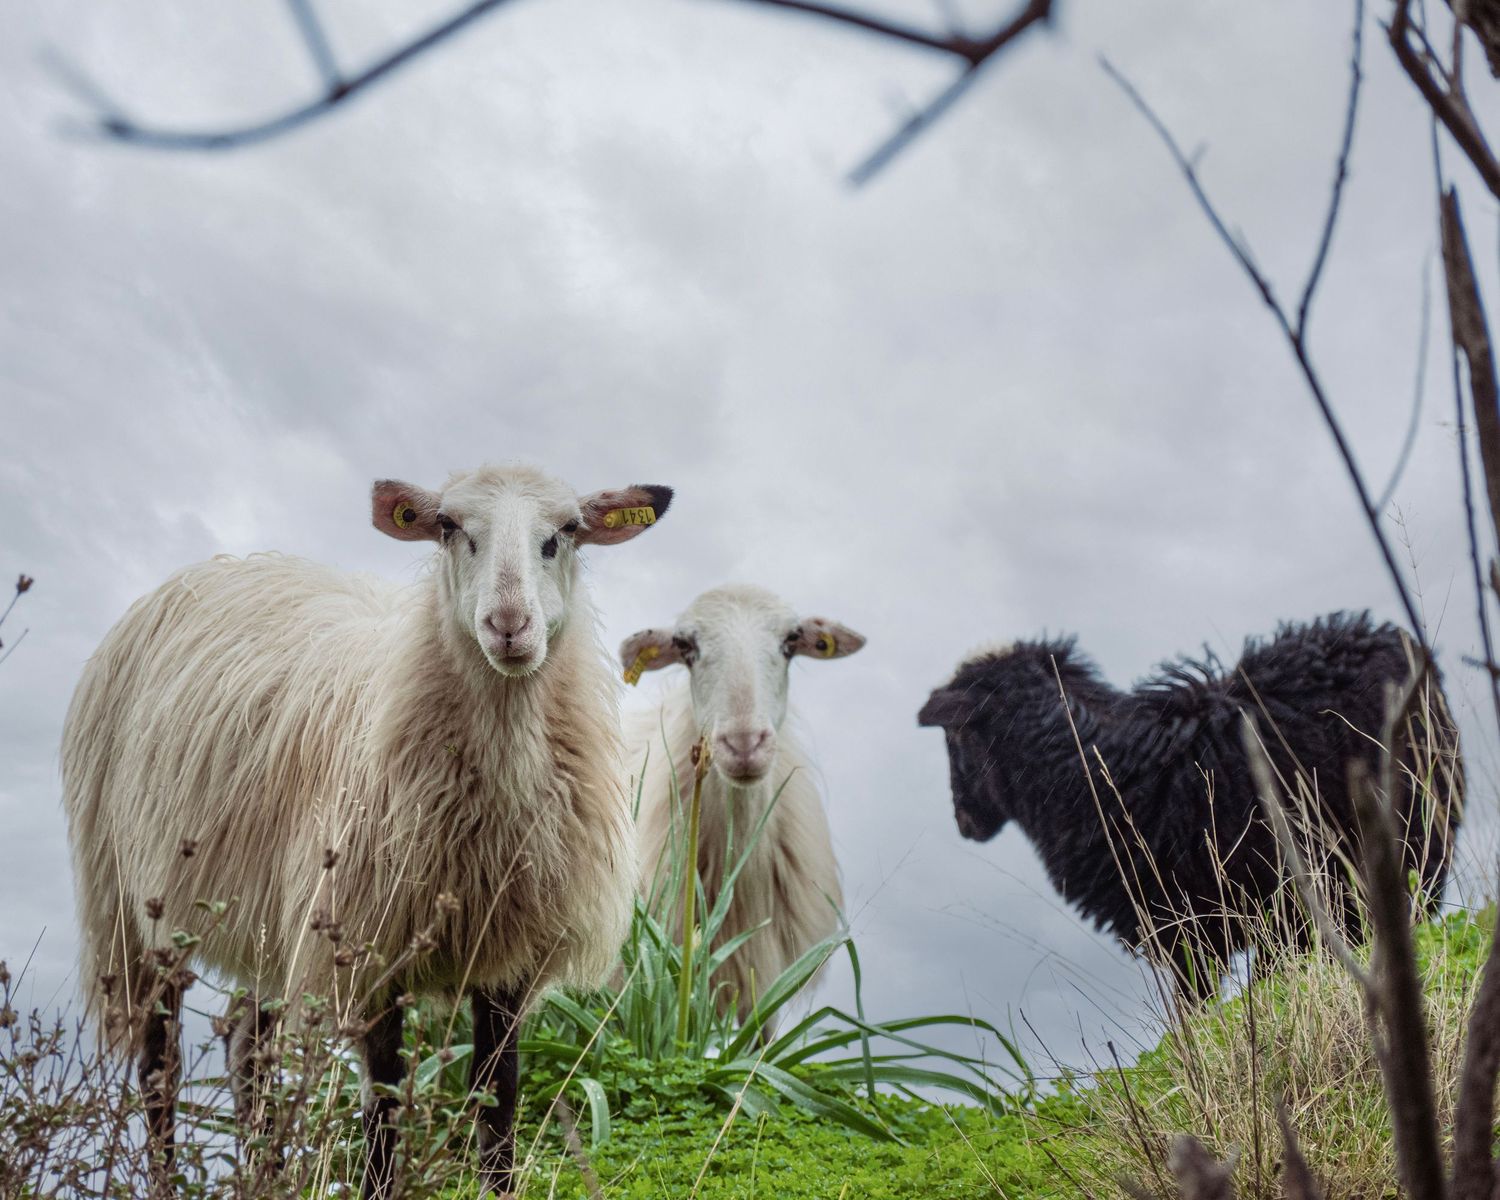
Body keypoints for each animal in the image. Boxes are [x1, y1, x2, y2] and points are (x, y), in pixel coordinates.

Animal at [60, 464, 673, 1197]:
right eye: (448, 526)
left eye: (567, 532)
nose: (509, 625)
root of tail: (204, 571)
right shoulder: (367, 944)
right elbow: (383, 1105)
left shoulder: (509, 952)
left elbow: (498, 1099)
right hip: (130, 899)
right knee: (160, 1061)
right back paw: (167, 1174)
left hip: (270, 916)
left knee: (247, 1043)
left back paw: (266, 1174)